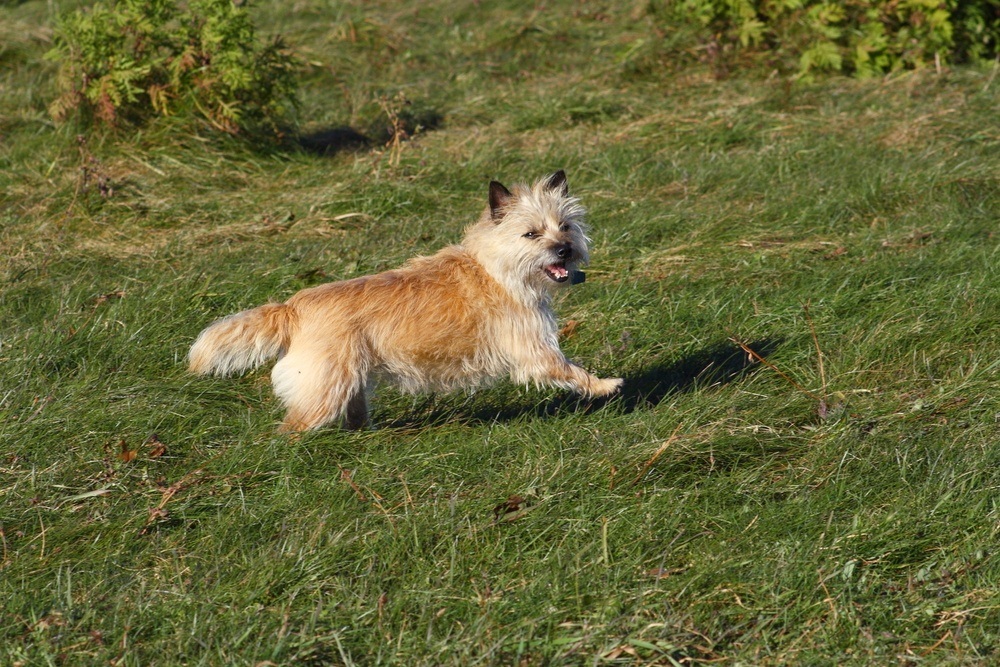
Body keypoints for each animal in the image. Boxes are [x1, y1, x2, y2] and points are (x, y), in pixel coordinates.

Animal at [188, 171, 620, 434]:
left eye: (565, 226)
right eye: (531, 234)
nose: (564, 250)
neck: (496, 267)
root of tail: (292, 308)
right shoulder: (534, 349)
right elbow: (570, 368)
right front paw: (605, 385)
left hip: (351, 382)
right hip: (324, 389)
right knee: (291, 428)